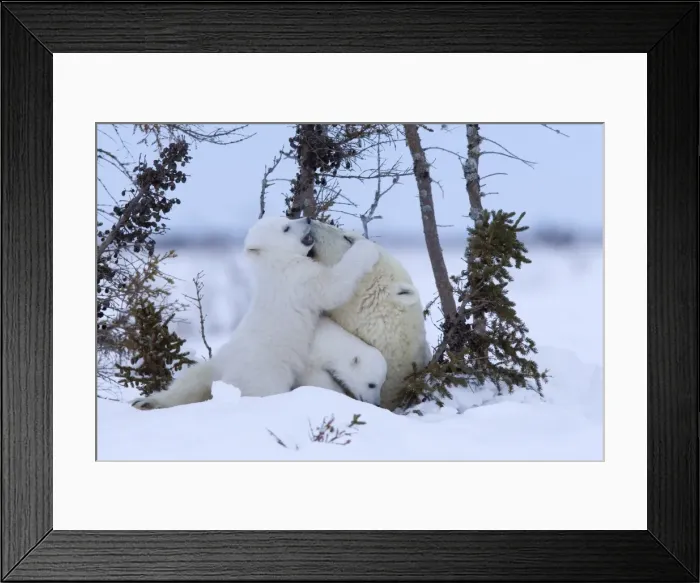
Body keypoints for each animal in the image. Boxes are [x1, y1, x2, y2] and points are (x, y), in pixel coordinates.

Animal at [130, 215, 380, 410]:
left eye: (287, 218)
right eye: (286, 228)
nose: (308, 219)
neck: (274, 263)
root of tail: (227, 379)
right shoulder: (298, 280)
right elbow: (333, 286)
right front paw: (365, 248)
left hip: (217, 361)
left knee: (188, 382)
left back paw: (147, 402)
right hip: (266, 373)